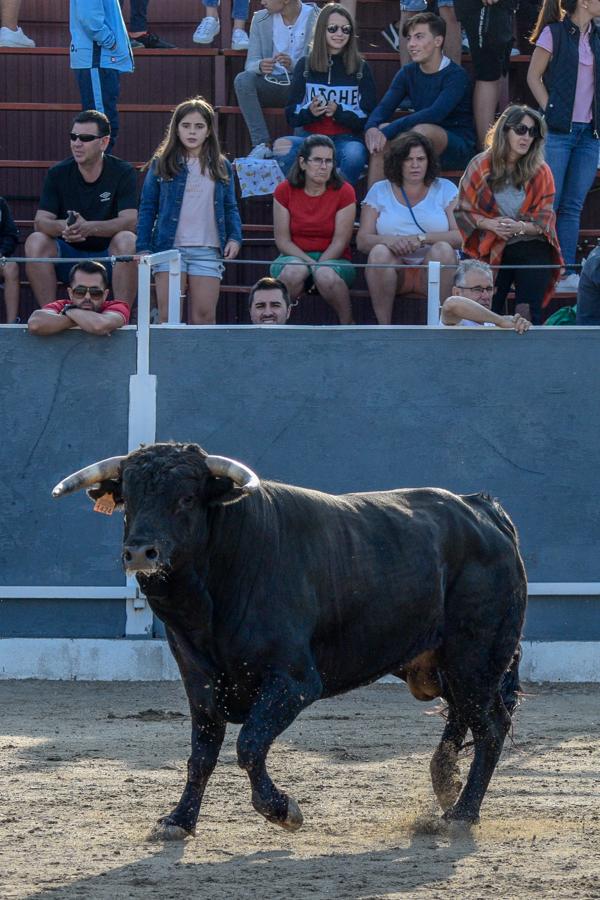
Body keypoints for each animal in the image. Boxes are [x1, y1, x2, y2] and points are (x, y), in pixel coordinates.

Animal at [54, 442, 528, 836]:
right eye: (129, 499)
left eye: (186, 498)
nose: (140, 552)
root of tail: (481, 510)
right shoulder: (199, 680)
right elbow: (201, 754)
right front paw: (178, 820)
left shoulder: (295, 681)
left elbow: (248, 744)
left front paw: (282, 810)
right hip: (446, 664)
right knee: (464, 715)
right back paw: (445, 785)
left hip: (476, 657)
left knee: (490, 725)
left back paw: (462, 813)